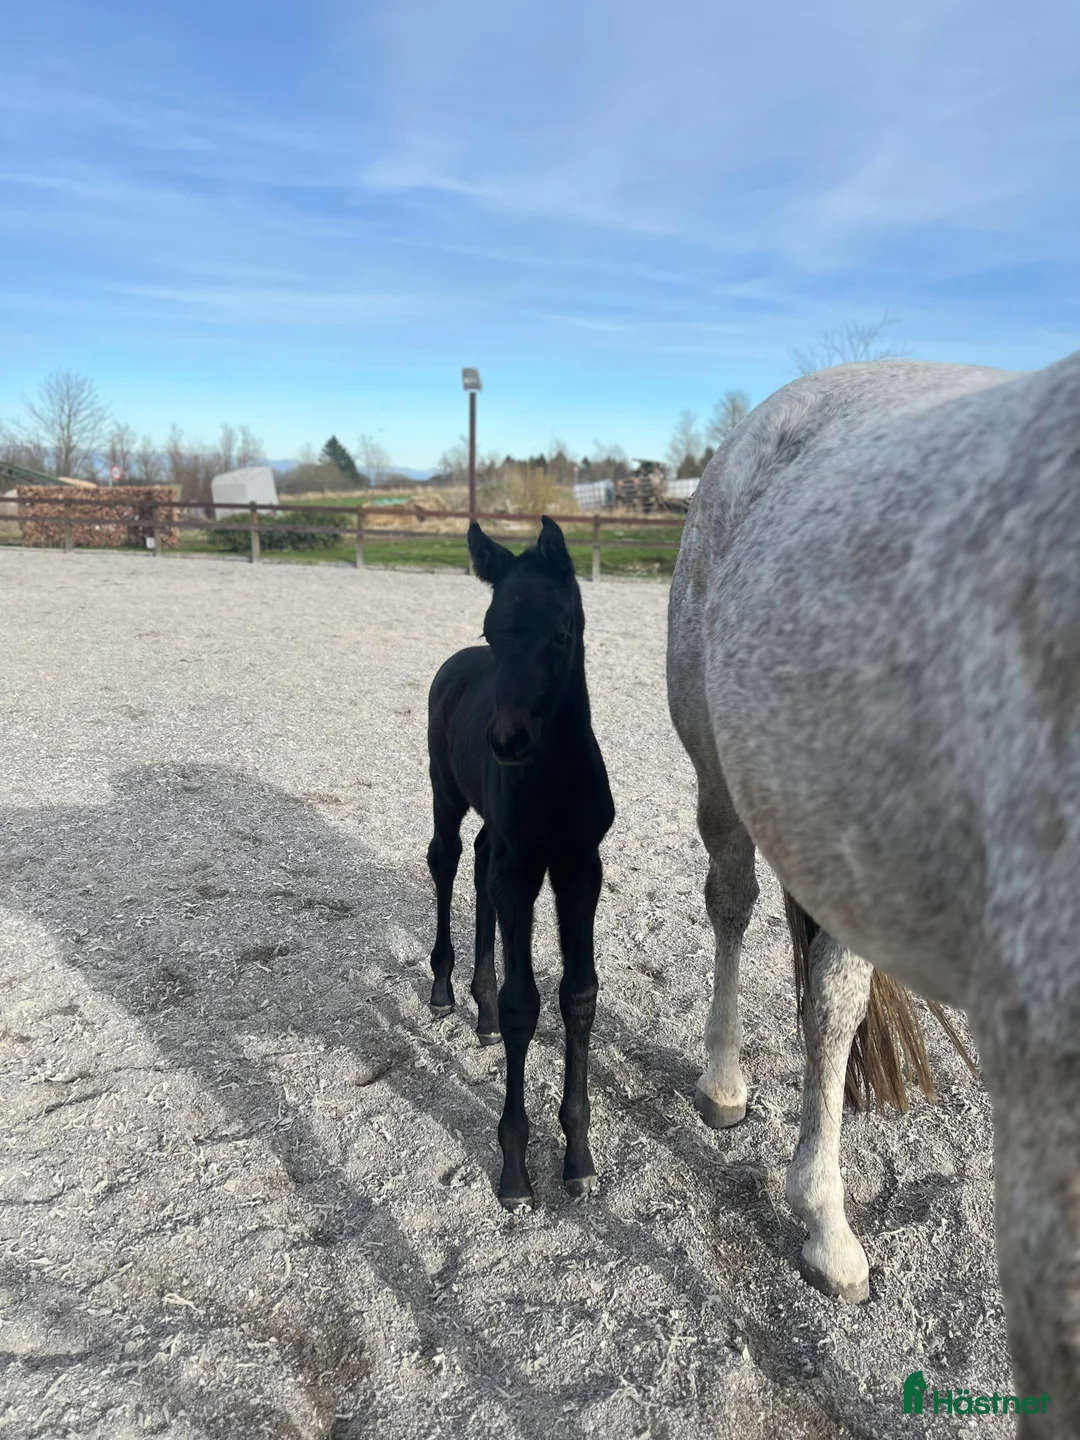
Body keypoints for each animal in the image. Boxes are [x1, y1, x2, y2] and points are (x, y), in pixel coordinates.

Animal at [425, 516, 615, 1208]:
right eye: (492, 628)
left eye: (560, 632)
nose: (507, 742)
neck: (555, 780)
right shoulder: (523, 867)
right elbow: (522, 1005)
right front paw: (514, 1170)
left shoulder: (579, 867)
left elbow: (578, 996)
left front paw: (579, 1159)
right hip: (446, 792)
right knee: (448, 858)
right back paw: (445, 989)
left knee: (480, 860)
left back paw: (476, 1010)